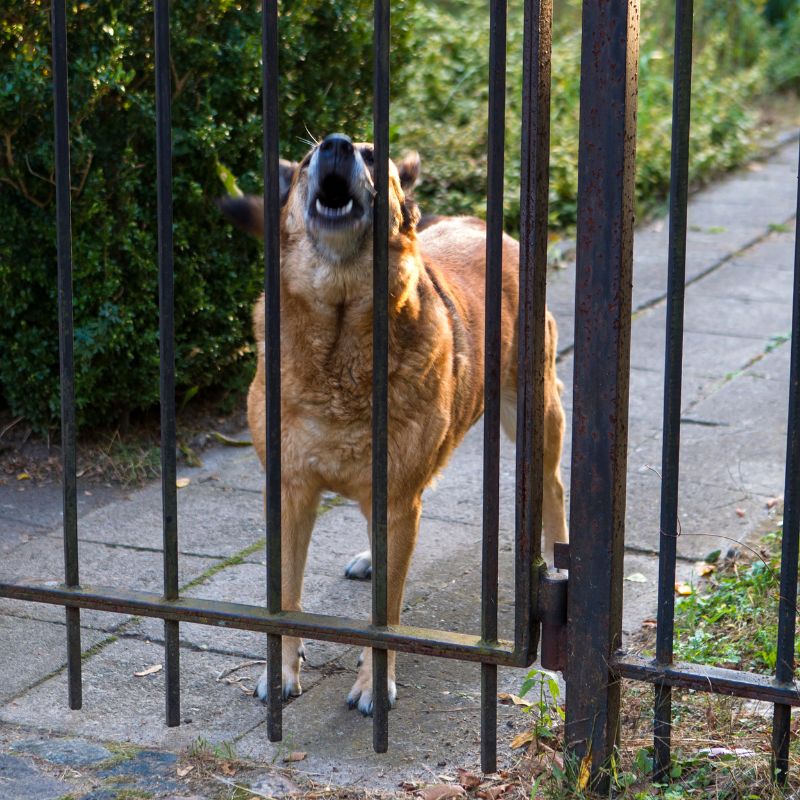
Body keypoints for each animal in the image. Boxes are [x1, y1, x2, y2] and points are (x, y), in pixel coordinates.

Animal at [222, 134, 564, 716]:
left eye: (370, 153)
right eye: (309, 158)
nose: (336, 145)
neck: (338, 345)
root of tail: (481, 224)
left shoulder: (398, 497)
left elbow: (386, 615)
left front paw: (373, 685)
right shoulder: (289, 491)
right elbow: (285, 597)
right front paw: (281, 672)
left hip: (534, 416)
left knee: (555, 488)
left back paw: (558, 564)